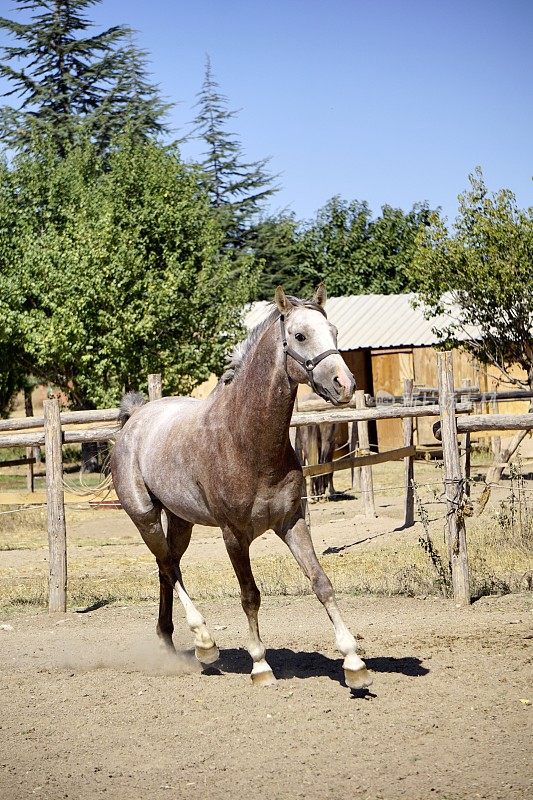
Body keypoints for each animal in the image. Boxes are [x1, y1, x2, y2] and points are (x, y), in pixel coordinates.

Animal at [110, 284, 372, 692]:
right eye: (300, 335)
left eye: (334, 331)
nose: (344, 385)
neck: (247, 439)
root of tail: (135, 418)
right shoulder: (234, 534)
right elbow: (250, 596)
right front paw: (260, 666)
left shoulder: (292, 522)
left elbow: (321, 582)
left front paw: (353, 662)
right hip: (145, 517)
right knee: (168, 566)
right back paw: (204, 642)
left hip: (180, 520)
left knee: (168, 567)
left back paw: (169, 639)